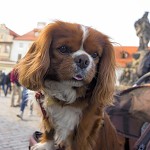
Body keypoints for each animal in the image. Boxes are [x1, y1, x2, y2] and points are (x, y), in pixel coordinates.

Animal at [15, 20, 120, 149]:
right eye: (63, 49)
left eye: (95, 55)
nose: (83, 60)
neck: (65, 91)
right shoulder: (46, 113)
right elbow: (49, 130)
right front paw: (45, 145)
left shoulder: (86, 123)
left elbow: (79, 141)